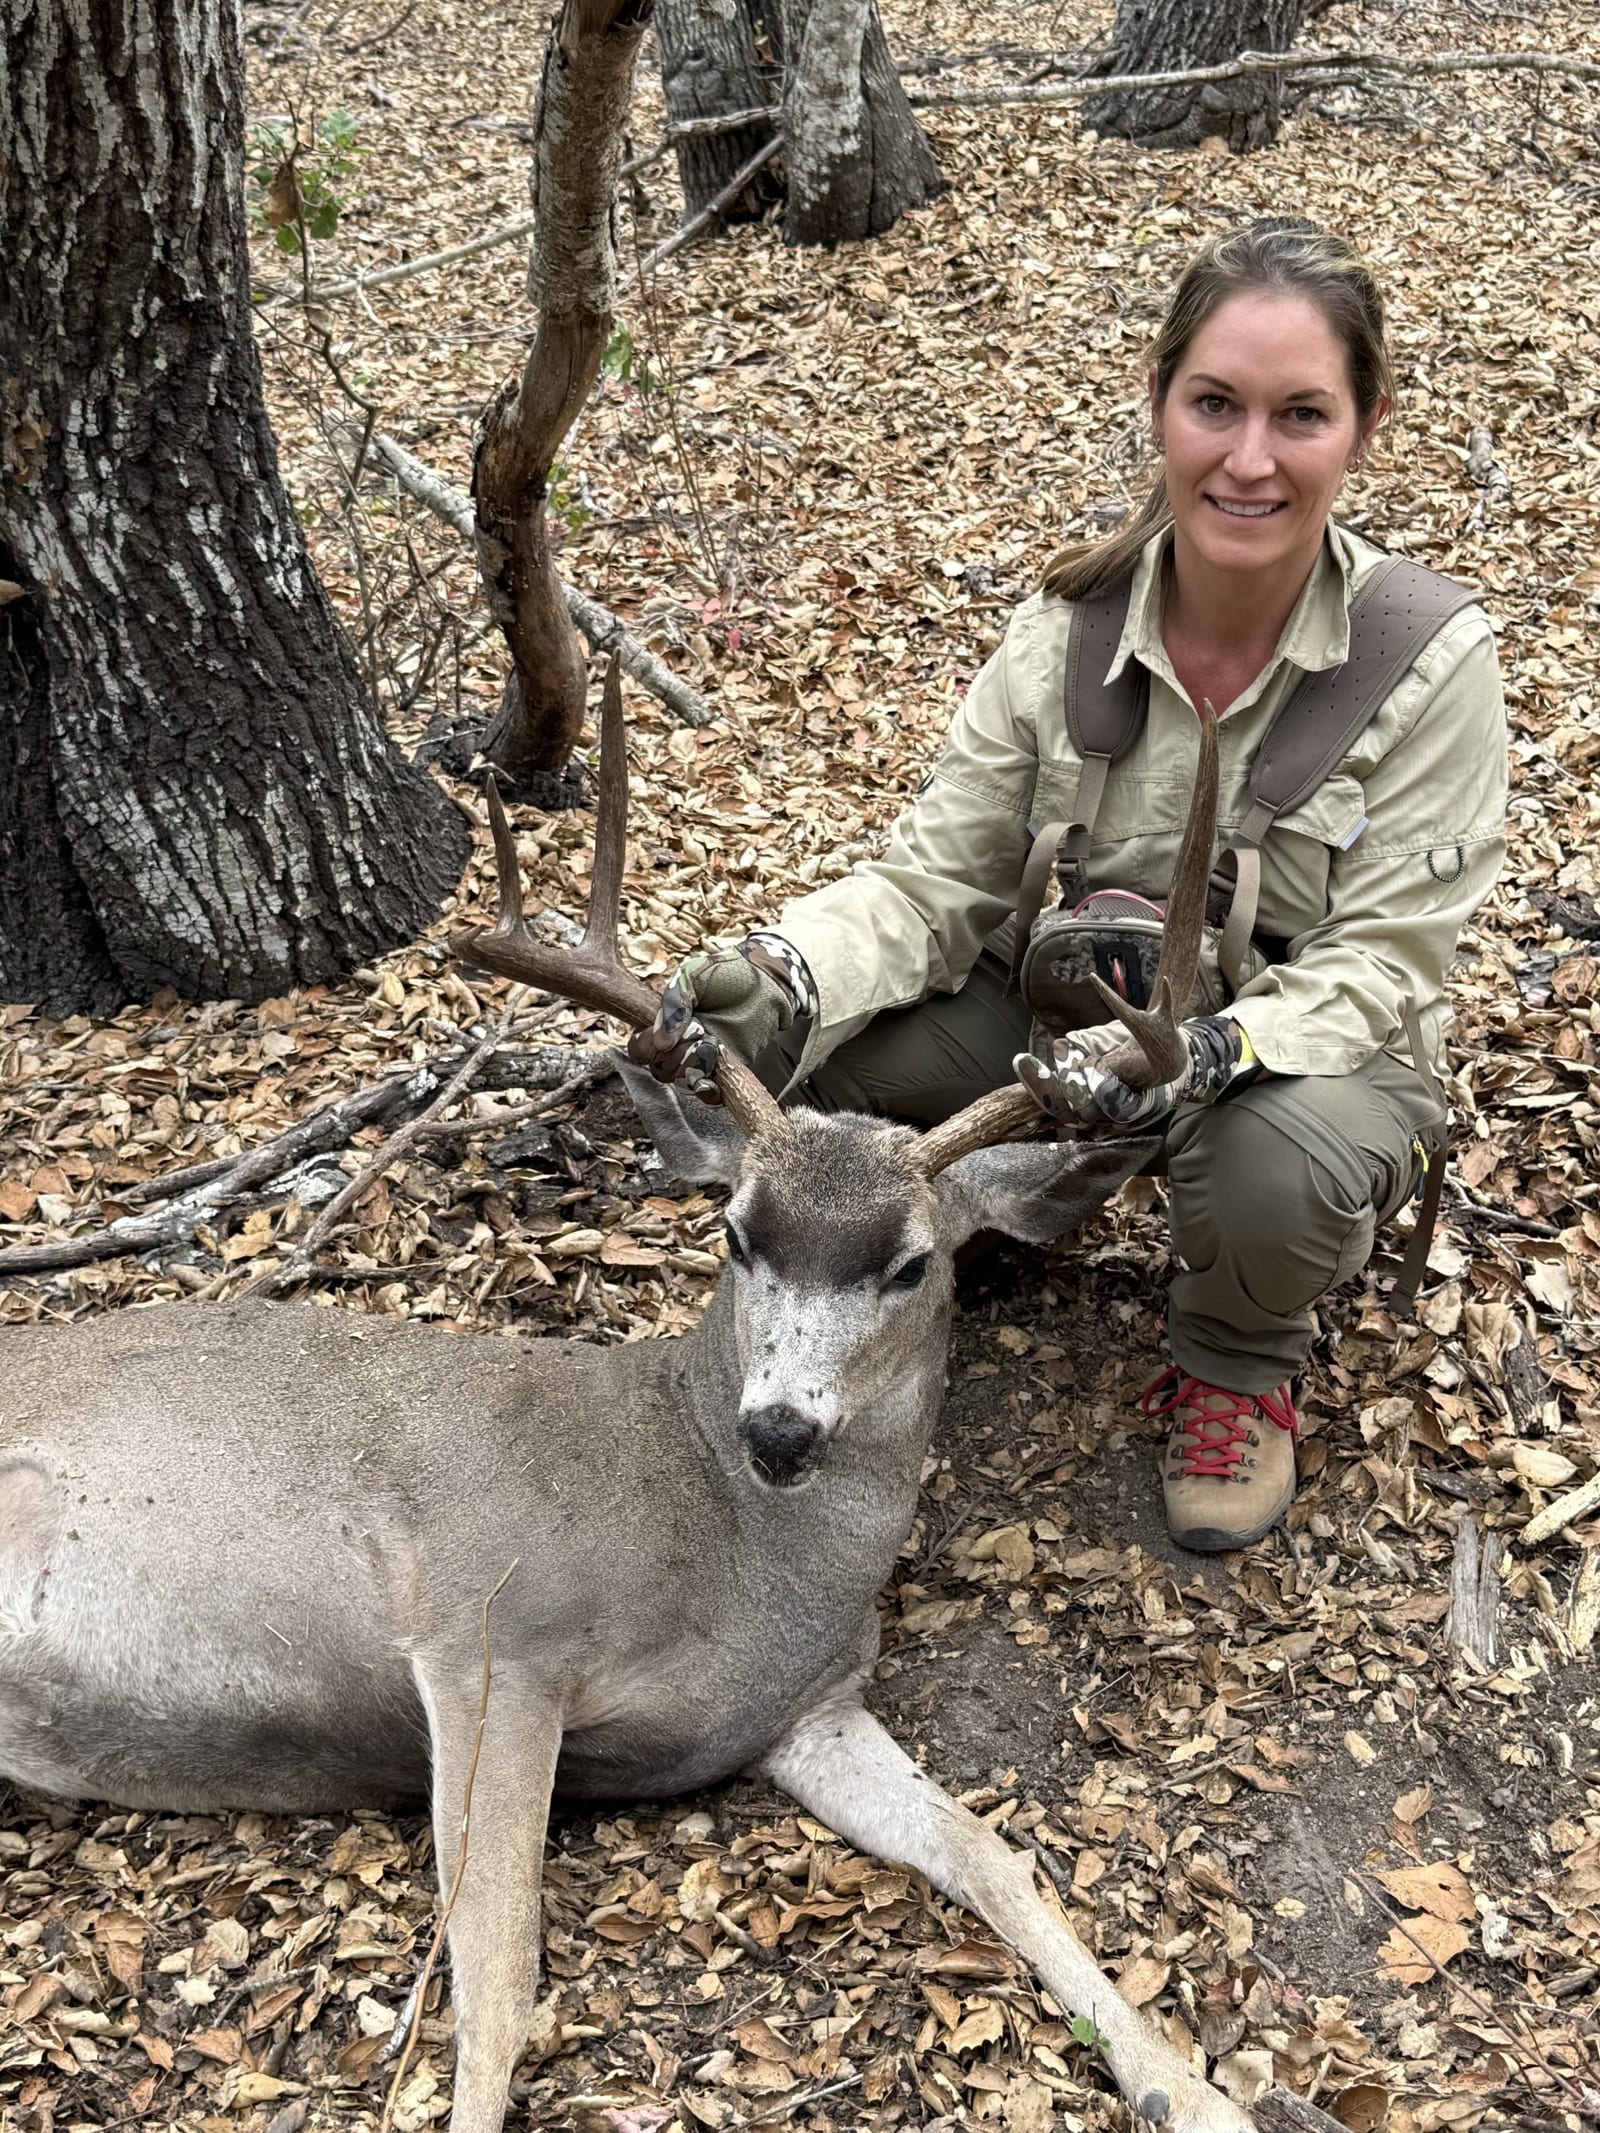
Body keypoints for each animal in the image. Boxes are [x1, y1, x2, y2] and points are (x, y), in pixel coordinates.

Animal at [0, 665, 1320, 2133]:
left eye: (913, 1261)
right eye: (735, 1231)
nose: (781, 1428)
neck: (723, 1543)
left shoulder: (806, 1709)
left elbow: (994, 1853)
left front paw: (1188, 2090)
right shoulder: (488, 1628)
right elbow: (498, 1979)